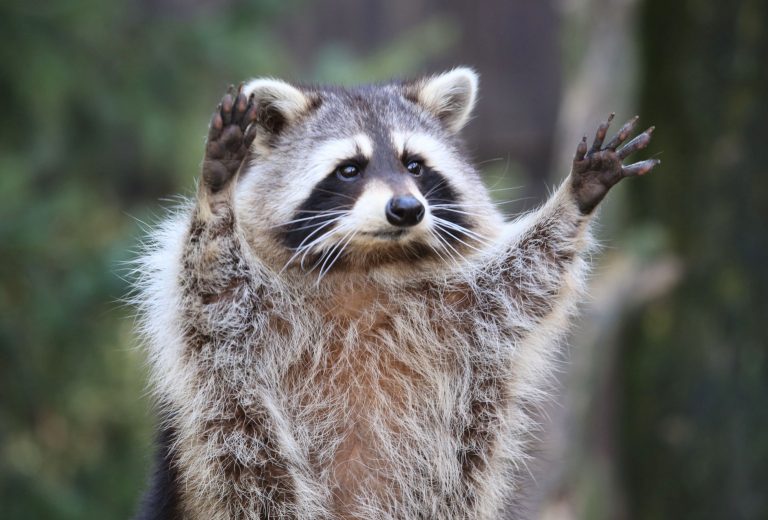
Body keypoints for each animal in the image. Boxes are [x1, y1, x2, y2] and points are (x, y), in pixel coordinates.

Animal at [133, 68, 658, 519]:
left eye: (415, 165)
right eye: (349, 169)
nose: (406, 208)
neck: (370, 262)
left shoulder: (470, 306)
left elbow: (532, 273)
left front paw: (574, 198)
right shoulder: (245, 316)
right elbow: (211, 282)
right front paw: (217, 190)